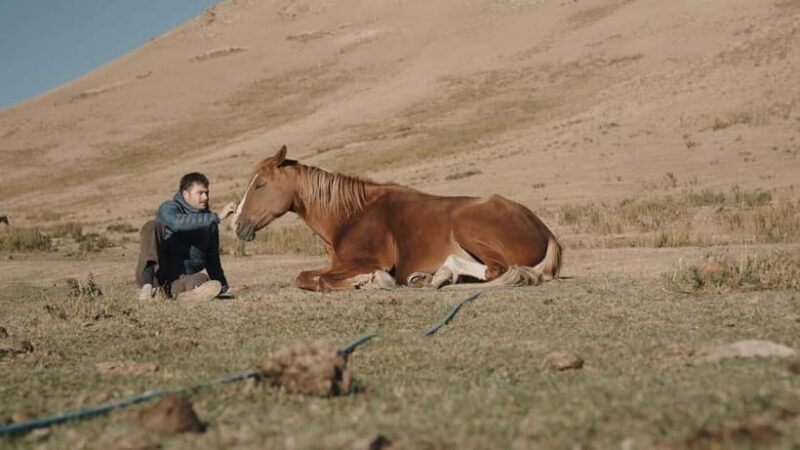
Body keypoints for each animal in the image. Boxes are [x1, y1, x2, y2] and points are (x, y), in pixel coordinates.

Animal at [234, 146, 562, 292]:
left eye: (260, 185)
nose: (237, 225)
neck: (351, 214)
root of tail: (544, 230)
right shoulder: (340, 263)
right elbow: (305, 277)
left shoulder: (364, 261)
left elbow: (320, 280)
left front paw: (373, 280)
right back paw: (432, 277)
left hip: (468, 226)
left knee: (496, 270)